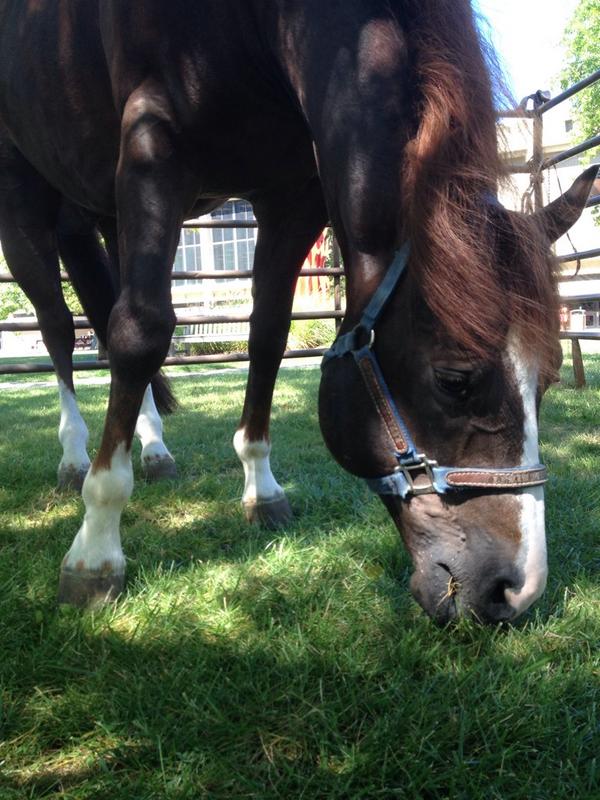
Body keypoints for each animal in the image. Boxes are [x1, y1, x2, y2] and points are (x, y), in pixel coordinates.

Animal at [0, 0, 595, 623]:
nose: (517, 591)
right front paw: (96, 547)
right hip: (23, 192)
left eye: (550, 378)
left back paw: (156, 449)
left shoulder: (291, 195)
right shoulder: (151, 147)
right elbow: (142, 332)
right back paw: (74, 459)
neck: (252, 26)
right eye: (454, 380)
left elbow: (267, 334)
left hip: (104, 213)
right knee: (60, 328)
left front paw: (261, 488)